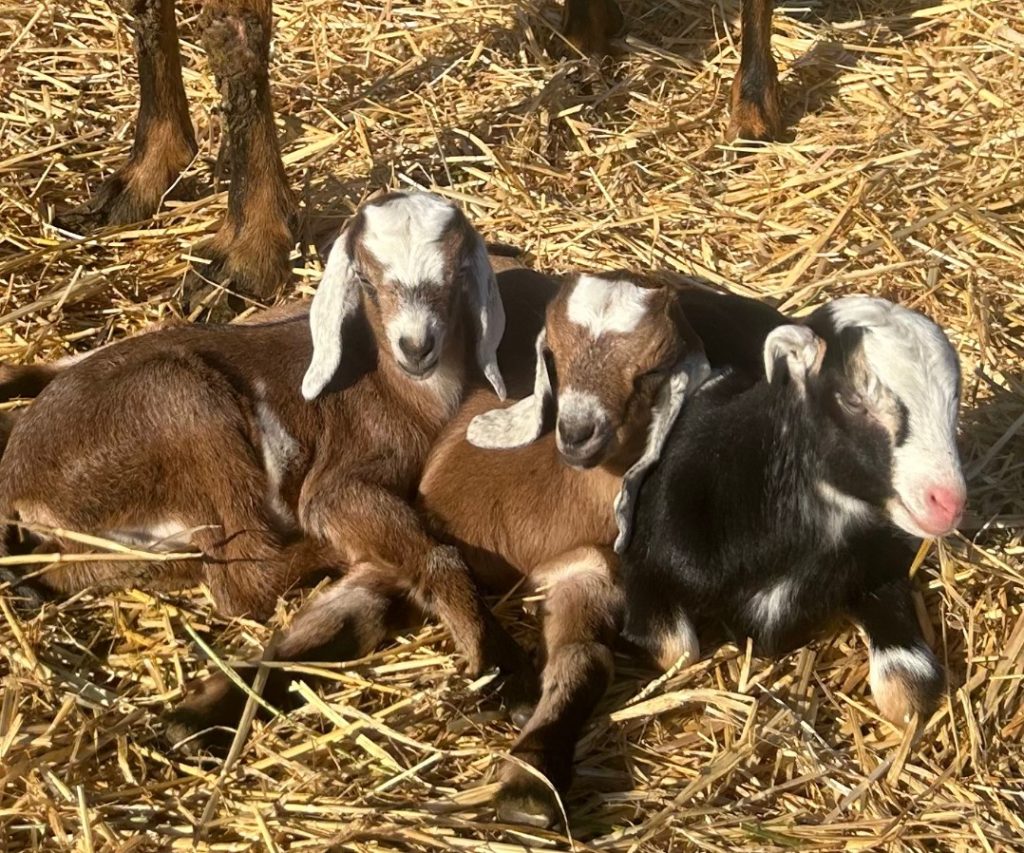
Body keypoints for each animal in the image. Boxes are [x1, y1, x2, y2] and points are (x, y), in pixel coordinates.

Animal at [0, 190, 534, 724]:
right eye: (364, 278)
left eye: (456, 273)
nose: (416, 346)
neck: (393, 387)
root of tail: (19, 479)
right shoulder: (339, 478)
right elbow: (433, 550)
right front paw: (505, 665)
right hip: (185, 405)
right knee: (243, 580)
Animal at [414, 271, 710, 827]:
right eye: (553, 353)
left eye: (652, 370)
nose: (576, 433)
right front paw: (529, 782)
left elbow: (596, 655)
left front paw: (530, 778)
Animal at [621, 290, 966, 727]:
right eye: (853, 400)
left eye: (954, 402)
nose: (948, 502)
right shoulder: (642, 559)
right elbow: (678, 650)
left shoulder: (883, 561)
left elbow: (907, 690)